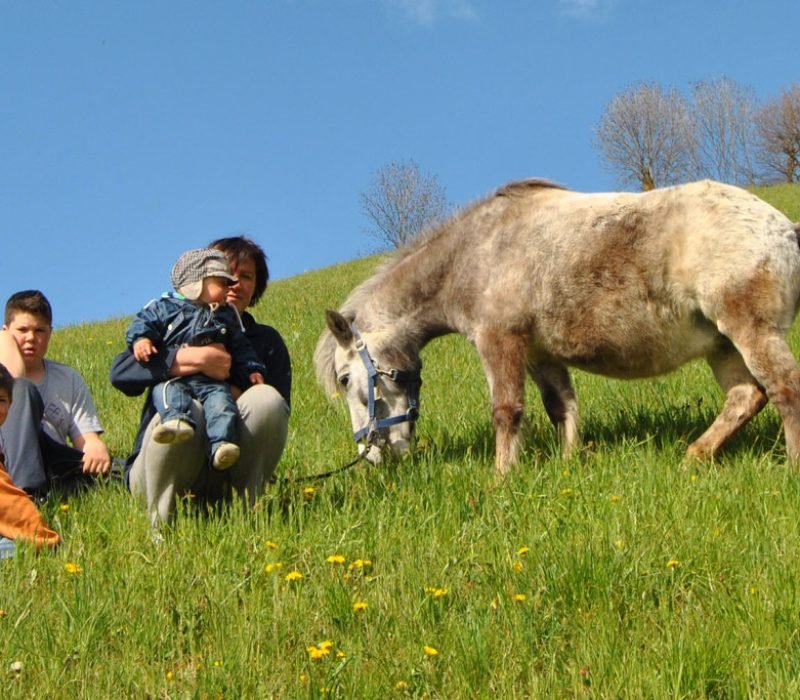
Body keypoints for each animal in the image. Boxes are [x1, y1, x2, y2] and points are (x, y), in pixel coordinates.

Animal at [314, 178, 800, 474]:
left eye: (345, 379)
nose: (370, 454)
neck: (476, 254)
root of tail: (785, 228)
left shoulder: (500, 343)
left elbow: (507, 411)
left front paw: (502, 477)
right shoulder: (539, 355)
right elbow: (561, 407)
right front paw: (568, 463)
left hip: (751, 332)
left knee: (783, 388)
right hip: (721, 345)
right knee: (745, 396)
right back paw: (694, 456)